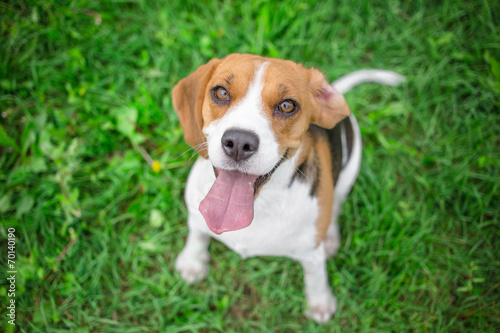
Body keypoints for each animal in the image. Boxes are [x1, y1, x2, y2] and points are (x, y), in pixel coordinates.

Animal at [172, 53, 402, 322]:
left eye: (287, 106)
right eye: (220, 92)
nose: (239, 142)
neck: (260, 205)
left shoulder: (311, 253)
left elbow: (316, 277)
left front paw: (320, 304)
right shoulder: (196, 212)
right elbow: (197, 234)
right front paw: (192, 262)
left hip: (349, 171)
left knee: (336, 207)